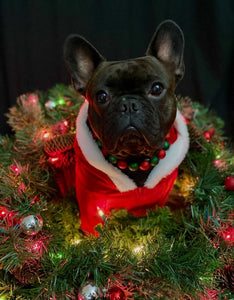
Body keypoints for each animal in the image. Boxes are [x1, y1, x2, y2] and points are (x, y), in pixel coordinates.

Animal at [63, 20, 189, 234]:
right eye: (102, 96)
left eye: (157, 88)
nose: (128, 104)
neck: (134, 160)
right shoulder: (91, 199)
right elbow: (94, 229)